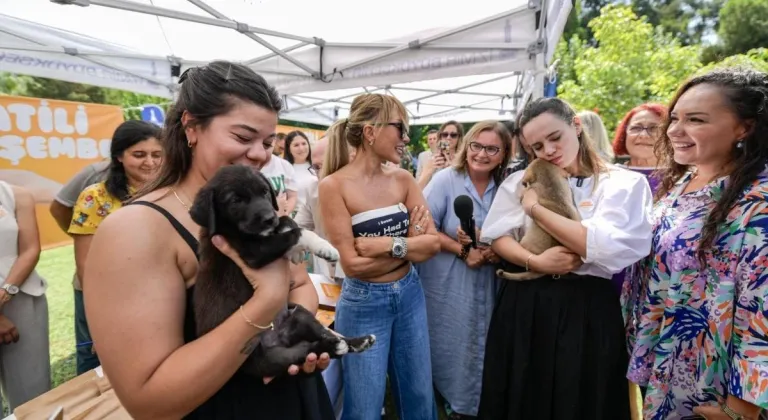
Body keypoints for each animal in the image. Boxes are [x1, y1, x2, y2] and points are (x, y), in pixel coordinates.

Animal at [189, 163, 376, 378]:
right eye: (235, 200)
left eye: (264, 191)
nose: (269, 219)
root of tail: (281, 338)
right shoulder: (253, 252)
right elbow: (298, 232)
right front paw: (324, 247)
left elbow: (287, 219)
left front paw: (299, 248)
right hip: (271, 358)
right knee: (307, 351)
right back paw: (334, 347)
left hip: (299, 313)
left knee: (323, 334)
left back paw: (357, 341)